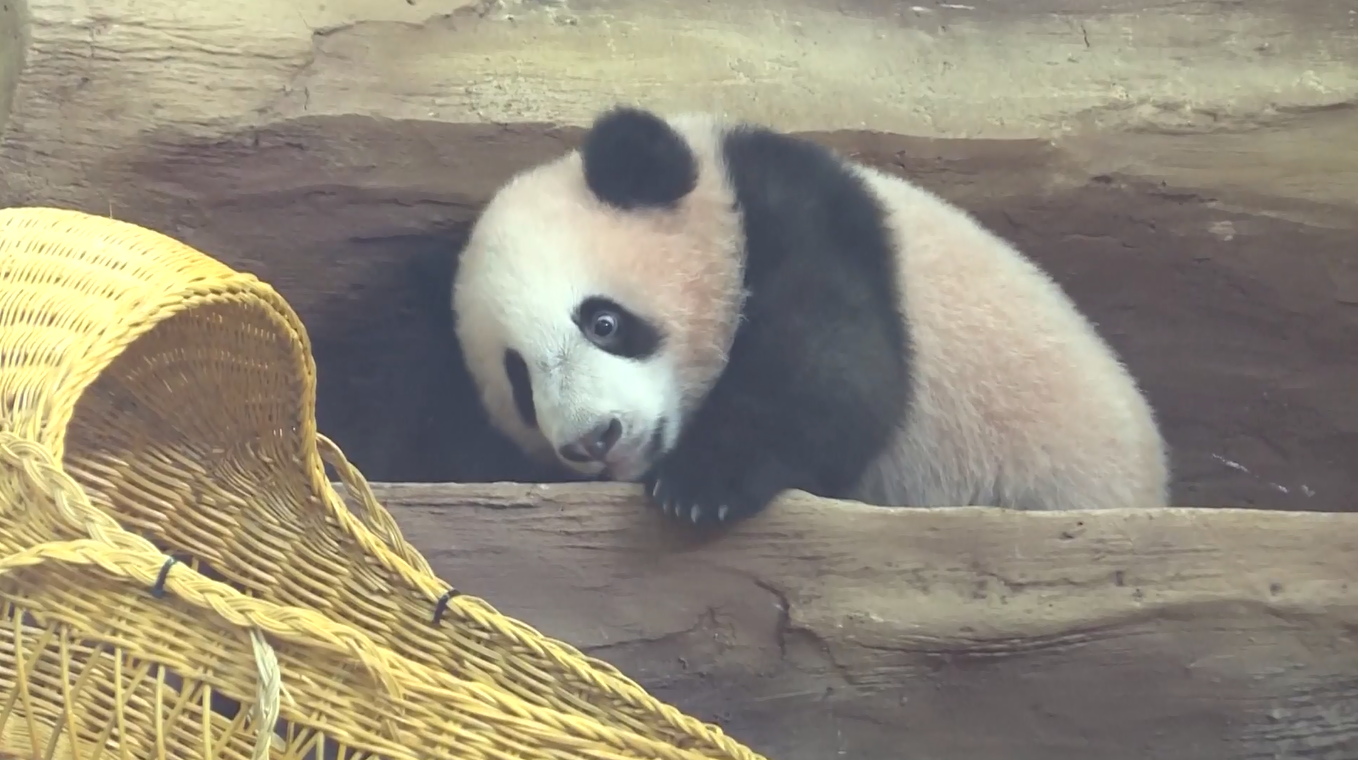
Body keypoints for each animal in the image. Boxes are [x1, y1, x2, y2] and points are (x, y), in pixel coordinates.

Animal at [451, 105, 1170, 530]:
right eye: (520, 384)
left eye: (603, 322)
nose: (592, 440)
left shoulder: (802, 215)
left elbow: (834, 368)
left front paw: (698, 485)